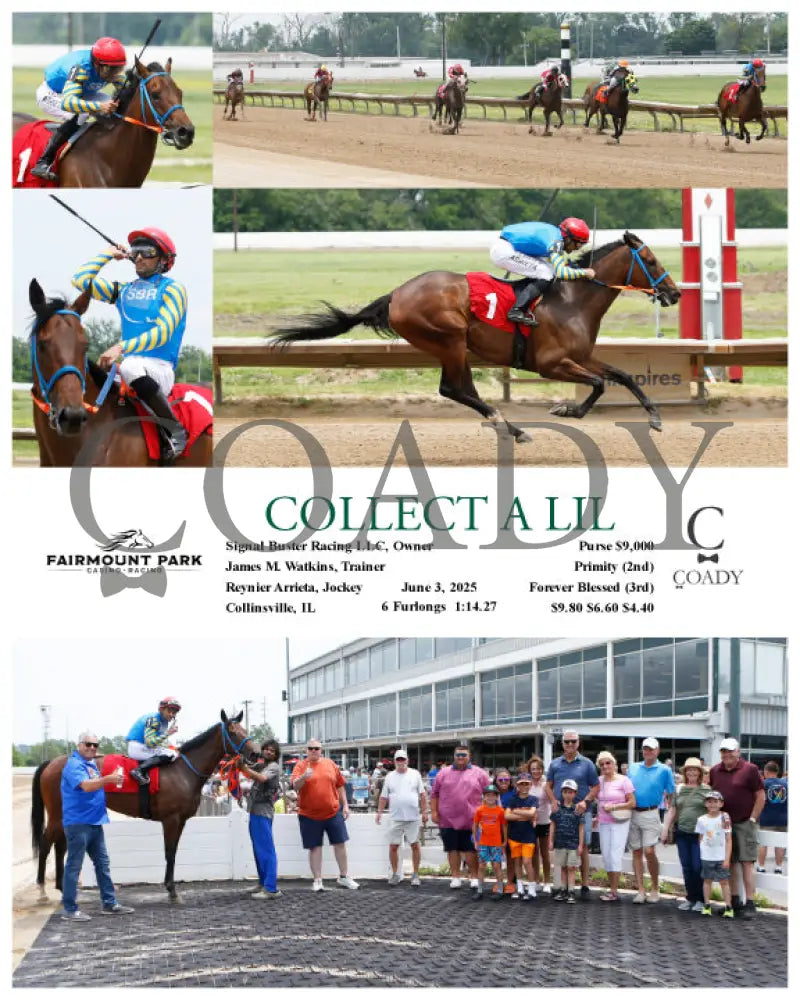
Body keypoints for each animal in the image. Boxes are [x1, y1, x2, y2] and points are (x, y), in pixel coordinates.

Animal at [31, 711, 258, 904]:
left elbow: (173, 852)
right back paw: (42, 891)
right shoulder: (171, 819)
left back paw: (62, 889)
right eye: (233, 731)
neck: (183, 771)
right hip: (57, 815)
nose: (255, 754)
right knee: (45, 844)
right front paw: (172, 891)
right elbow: (169, 853)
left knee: (60, 846)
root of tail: (51, 762)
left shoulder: (181, 821)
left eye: (244, 730)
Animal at [272, 233, 681, 441]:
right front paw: (567, 410)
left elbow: (623, 376)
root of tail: (397, 294)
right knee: (452, 389)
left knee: (461, 389)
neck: (572, 300)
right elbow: (598, 384)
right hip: (450, 339)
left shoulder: (581, 357)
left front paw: (655, 417)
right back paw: (508, 425)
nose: (674, 293)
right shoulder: (551, 364)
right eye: (652, 262)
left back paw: (510, 426)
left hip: (453, 346)